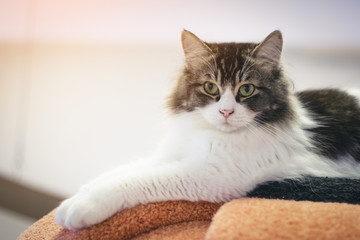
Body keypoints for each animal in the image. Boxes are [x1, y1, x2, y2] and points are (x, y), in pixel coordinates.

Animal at [54, 29, 360, 229]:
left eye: (246, 90)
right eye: (211, 88)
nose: (226, 112)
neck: (205, 134)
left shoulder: (208, 174)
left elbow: (132, 182)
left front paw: (82, 207)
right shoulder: (169, 155)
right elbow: (118, 172)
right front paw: (73, 199)